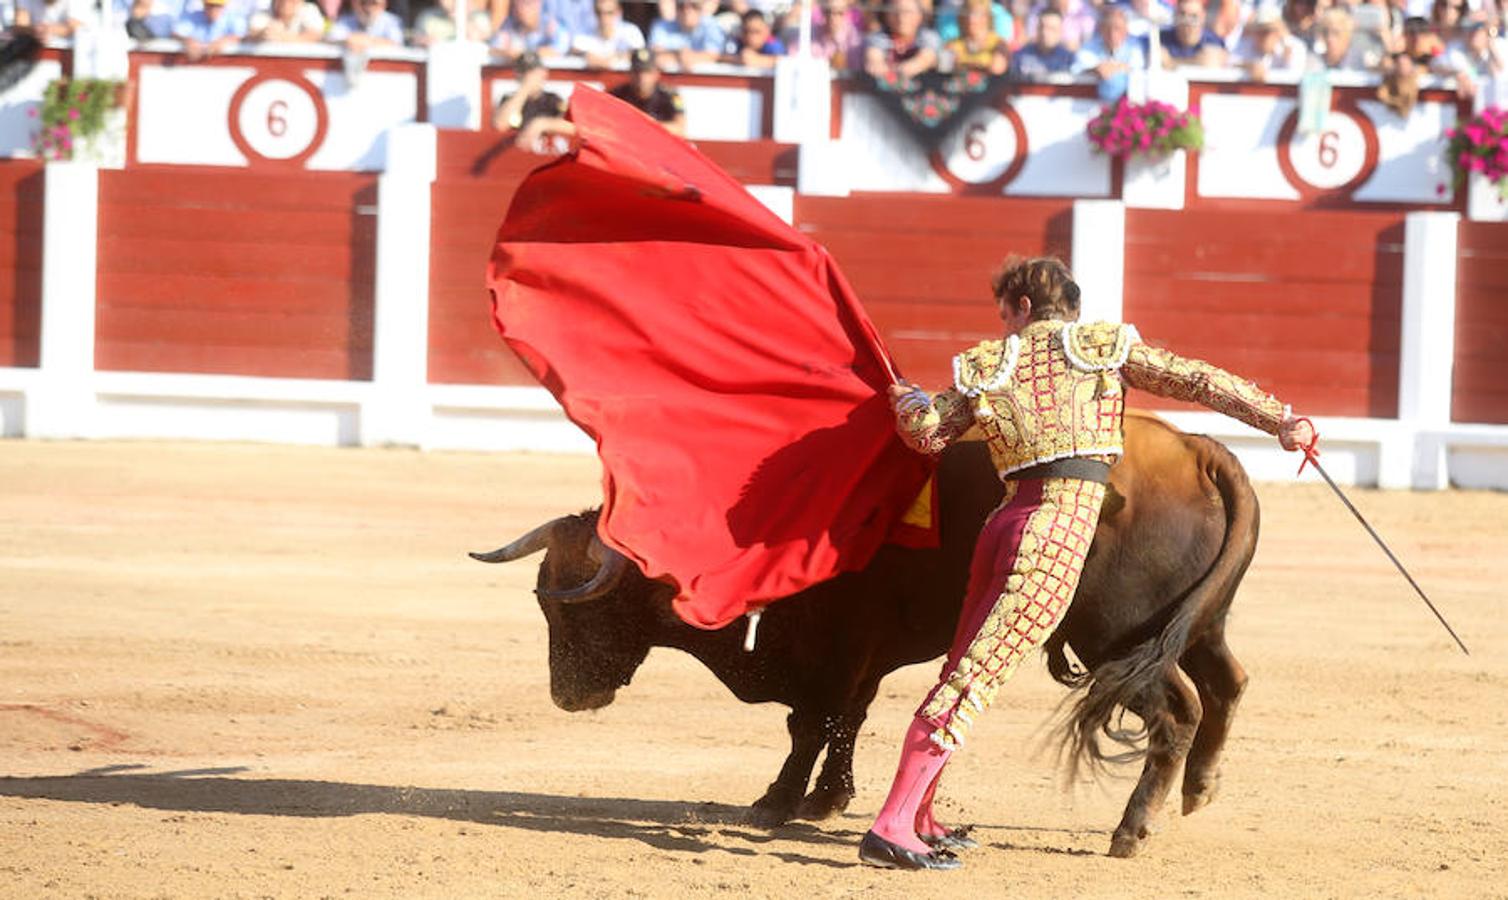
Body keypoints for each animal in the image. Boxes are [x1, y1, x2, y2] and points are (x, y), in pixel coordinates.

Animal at [470, 413, 1260, 856]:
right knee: (1228, 684)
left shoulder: (835, 649)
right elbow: (845, 721)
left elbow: (810, 724)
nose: (567, 696)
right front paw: (828, 799)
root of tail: (1197, 449)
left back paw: (1132, 830)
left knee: (1179, 710)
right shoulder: (863, 658)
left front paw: (777, 802)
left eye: (577, 608)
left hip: (1118, 640)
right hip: (1195, 626)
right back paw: (1200, 790)